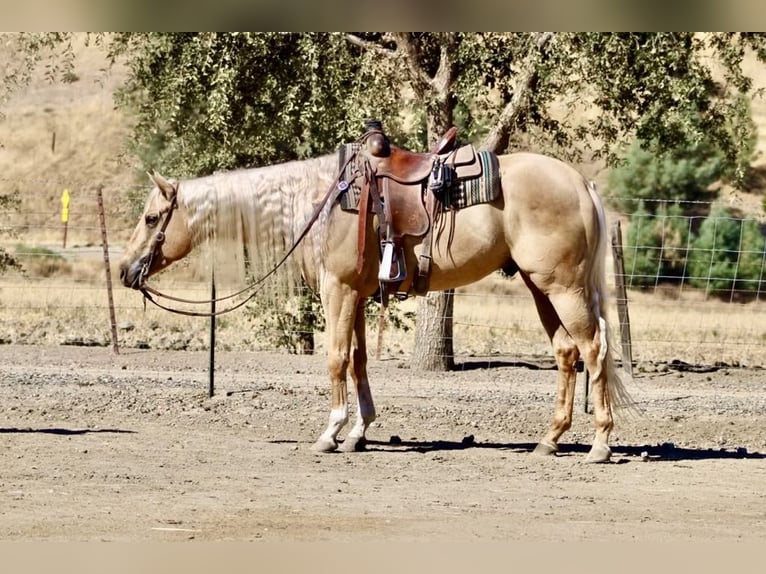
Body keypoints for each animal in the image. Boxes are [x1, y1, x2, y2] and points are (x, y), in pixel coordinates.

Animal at [119, 136, 633, 463]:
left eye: (151, 218)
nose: (125, 270)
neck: (322, 203)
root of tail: (581, 184)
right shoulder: (361, 294)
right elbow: (359, 359)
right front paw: (358, 433)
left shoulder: (339, 289)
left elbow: (335, 358)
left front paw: (331, 432)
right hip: (538, 285)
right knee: (566, 353)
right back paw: (549, 440)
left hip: (562, 286)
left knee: (593, 350)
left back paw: (600, 445)